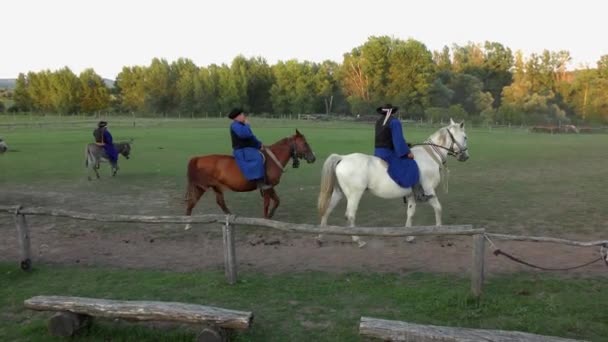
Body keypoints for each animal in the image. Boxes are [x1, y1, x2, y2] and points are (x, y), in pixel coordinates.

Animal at [183, 128, 316, 224]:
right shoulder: (267, 186)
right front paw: (266, 218)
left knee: (213, 202)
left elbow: (277, 201)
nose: (313, 158)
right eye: (305, 143)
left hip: (213, 187)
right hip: (202, 187)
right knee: (193, 203)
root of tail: (199, 159)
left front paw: (269, 216)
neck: (272, 160)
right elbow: (268, 203)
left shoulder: (269, 187)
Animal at [318, 119, 470, 247]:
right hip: (354, 195)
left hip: (339, 193)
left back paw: (320, 237)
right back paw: (358, 240)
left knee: (327, 210)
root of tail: (342, 158)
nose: (466, 156)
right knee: (350, 215)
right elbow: (438, 208)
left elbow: (411, 213)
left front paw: (409, 236)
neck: (429, 155)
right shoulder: (429, 190)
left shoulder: (411, 195)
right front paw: (439, 231)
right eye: (465, 137)